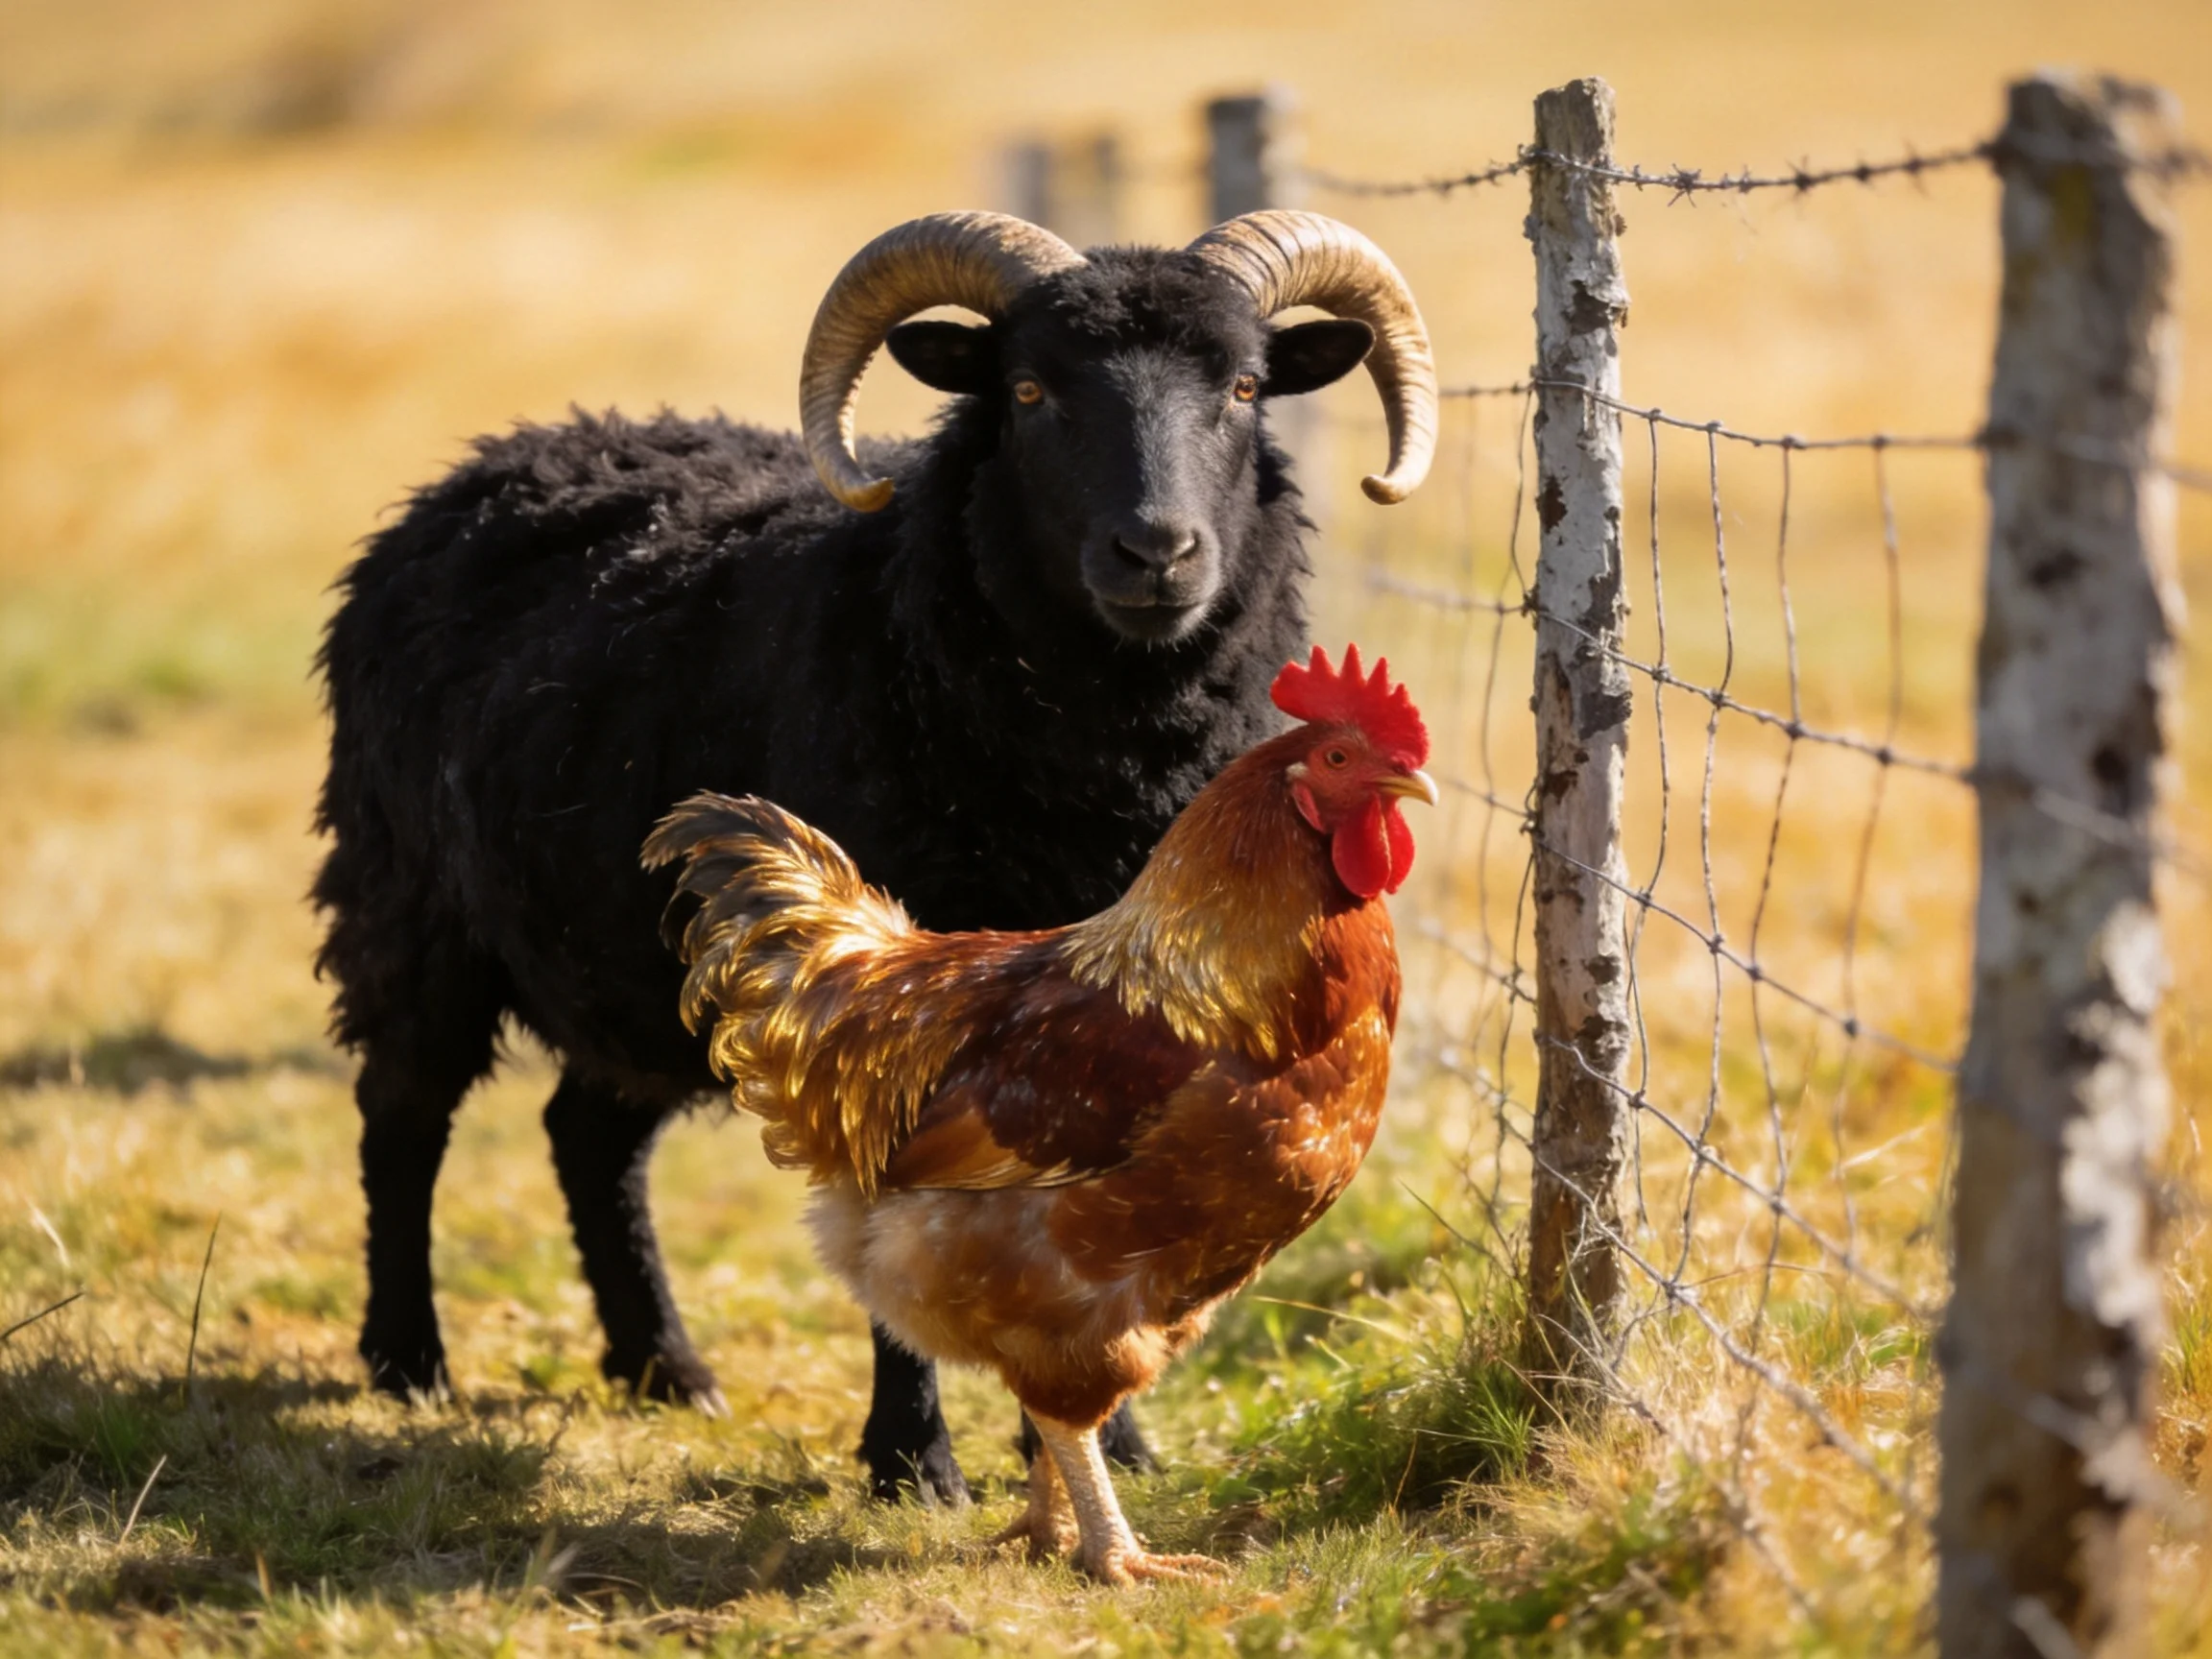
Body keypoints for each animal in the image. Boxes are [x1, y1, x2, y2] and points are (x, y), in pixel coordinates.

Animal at [314, 208, 1437, 1502]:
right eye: (1030, 389)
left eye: (1246, 386)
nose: (1157, 551)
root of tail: (494, 462)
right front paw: (913, 1461)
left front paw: (1117, 1448)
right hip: (411, 910)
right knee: (401, 1117)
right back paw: (408, 1360)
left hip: (627, 961)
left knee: (586, 1139)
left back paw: (664, 1369)